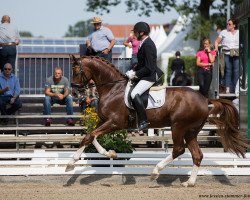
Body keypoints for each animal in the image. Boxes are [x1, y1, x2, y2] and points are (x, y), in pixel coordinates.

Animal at [66, 54, 248, 186]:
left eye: (76, 71)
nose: (74, 93)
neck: (112, 88)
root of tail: (205, 99)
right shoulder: (104, 121)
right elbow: (90, 136)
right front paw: (108, 153)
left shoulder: (115, 122)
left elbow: (90, 136)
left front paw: (72, 163)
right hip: (191, 131)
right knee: (197, 154)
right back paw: (189, 182)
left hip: (178, 126)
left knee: (178, 150)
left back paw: (155, 171)